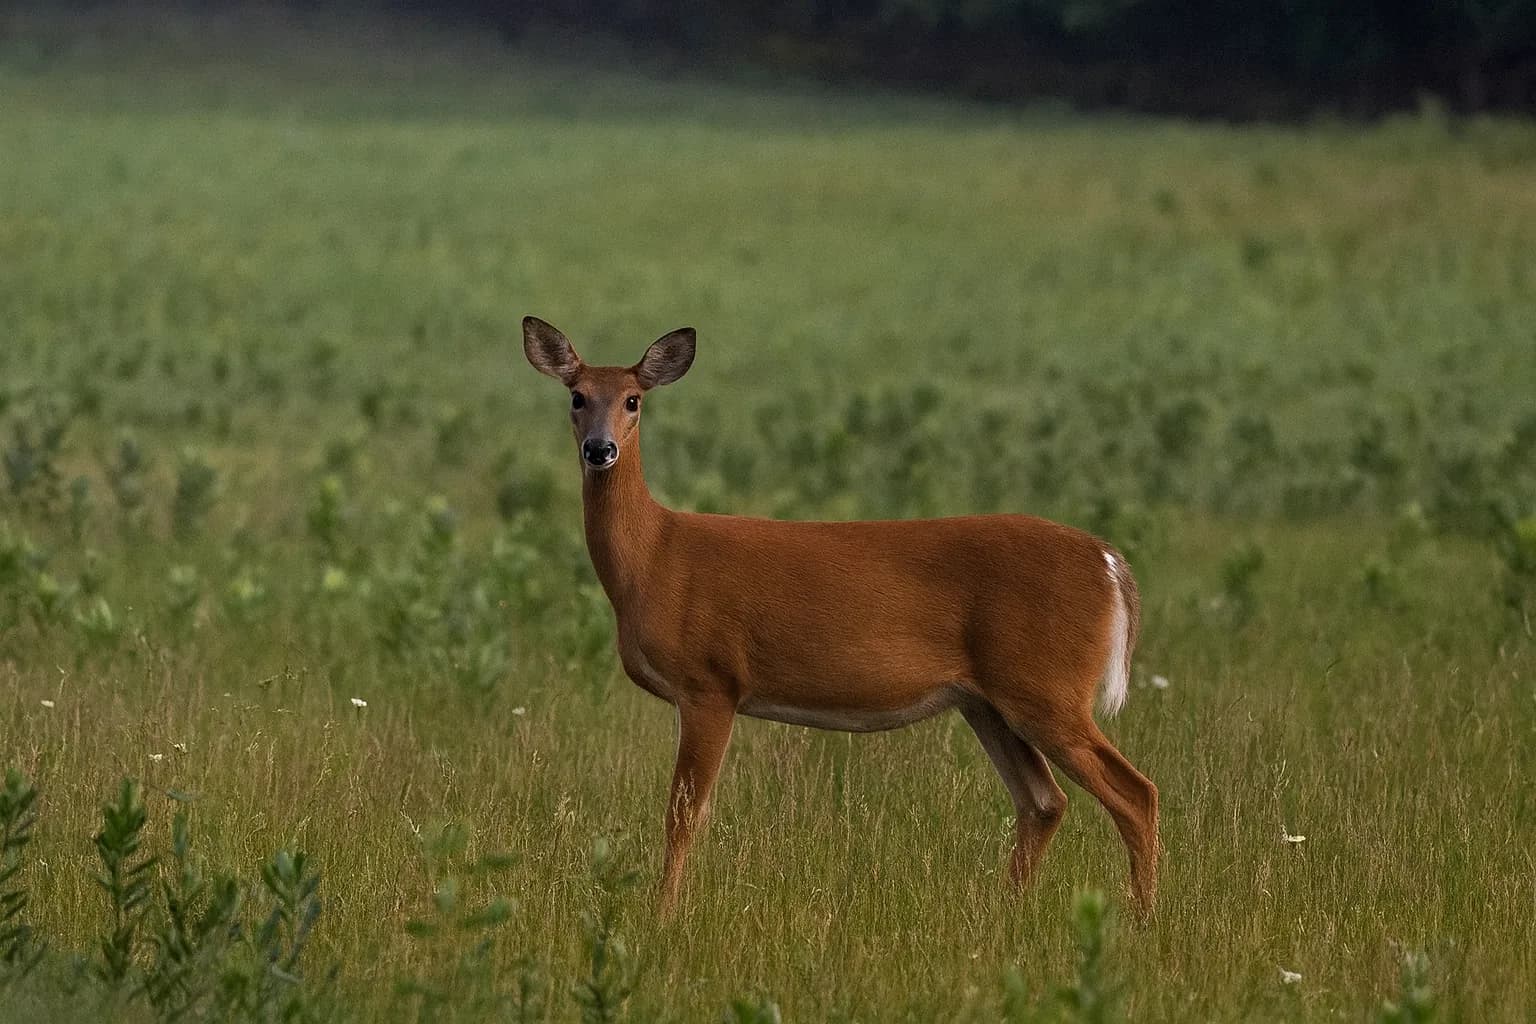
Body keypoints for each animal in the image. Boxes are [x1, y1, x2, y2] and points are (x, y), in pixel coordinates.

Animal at [522, 316, 1159, 917]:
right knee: (1044, 801)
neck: (655, 558)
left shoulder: (711, 682)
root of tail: (1109, 561)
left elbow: (684, 814)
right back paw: (1009, 912)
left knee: (1135, 792)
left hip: (1047, 687)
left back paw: (1143, 919)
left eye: (633, 399)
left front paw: (663, 917)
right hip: (989, 702)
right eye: (577, 395)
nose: (600, 449)